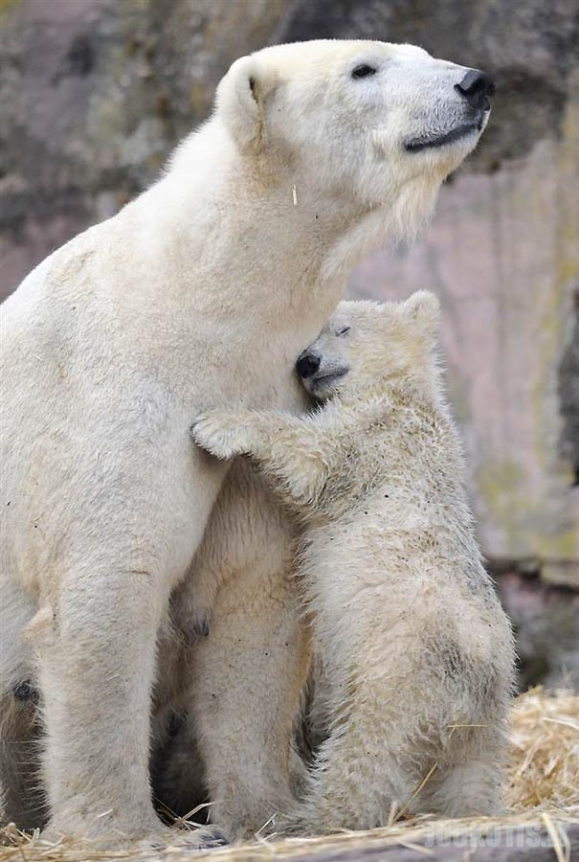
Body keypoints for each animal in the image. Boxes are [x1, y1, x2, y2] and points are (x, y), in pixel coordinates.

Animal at [0, 42, 494, 844]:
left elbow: (251, 605)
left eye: (418, 52)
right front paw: (130, 834)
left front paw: (258, 815)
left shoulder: (263, 409)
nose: (474, 84)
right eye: (364, 68)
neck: (180, 314)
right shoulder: (104, 411)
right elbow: (108, 589)